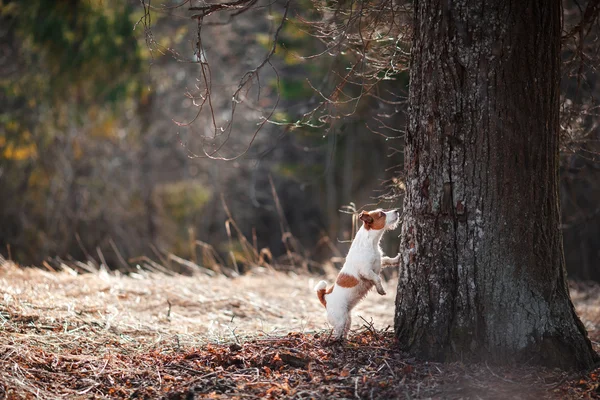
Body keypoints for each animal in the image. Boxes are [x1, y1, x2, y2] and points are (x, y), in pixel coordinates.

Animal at [314, 209, 398, 340]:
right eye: (381, 214)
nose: (397, 211)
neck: (370, 242)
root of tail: (325, 298)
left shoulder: (379, 263)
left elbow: (388, 260)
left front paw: (397, 259)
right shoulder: (366, 271)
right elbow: (377, 278)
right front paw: (380, 290)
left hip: (348, 319)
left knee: (345, 331)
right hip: (340, 320)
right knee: (337, 333)